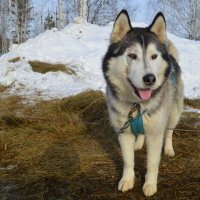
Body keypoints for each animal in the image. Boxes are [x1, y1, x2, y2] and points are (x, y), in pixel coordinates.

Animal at [102, 10, 184, 196]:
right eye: (132, 55)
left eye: (154, 56)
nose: (150, 79)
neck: (137, 104)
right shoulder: (123, 131)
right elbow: (128, 161)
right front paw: (127, 180)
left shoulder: (155, 133)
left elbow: (152, 163)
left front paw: (150, 185)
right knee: (140, 133)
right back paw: (138, 143)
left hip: (173, 113)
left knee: (169, 131)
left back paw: (169, 149)